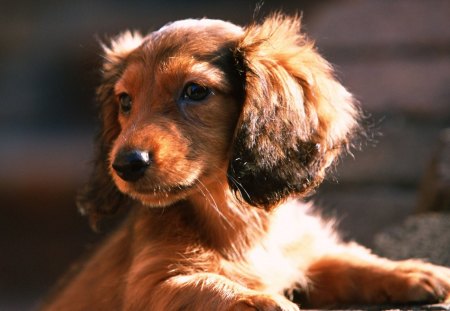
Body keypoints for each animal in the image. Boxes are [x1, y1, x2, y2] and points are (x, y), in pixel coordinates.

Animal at [40, 14, 448, 311]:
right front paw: (264, 299)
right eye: (125, 101)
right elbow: (209, 285)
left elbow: (346, 261)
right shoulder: (151, 284)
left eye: (195, 91)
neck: (240, 222)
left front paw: (414, 271)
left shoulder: (301, 257)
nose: (125, 164)